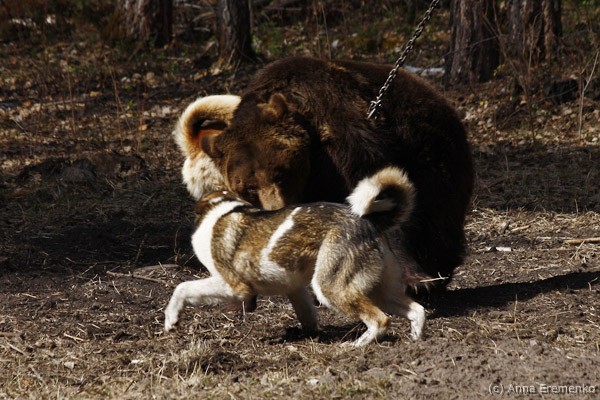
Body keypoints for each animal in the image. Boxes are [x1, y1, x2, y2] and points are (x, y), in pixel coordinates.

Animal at [164, 166, 427, 346]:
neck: (220, 210)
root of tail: (370, 223)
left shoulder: (233, 286)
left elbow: (182, 288)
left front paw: (171, 319)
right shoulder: (294, 287)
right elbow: (307, 314)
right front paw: (309, 334)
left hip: (331, 288)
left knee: (380, 320)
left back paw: (357, 345)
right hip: (379, 291)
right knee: (417, 310)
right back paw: (415, 341)